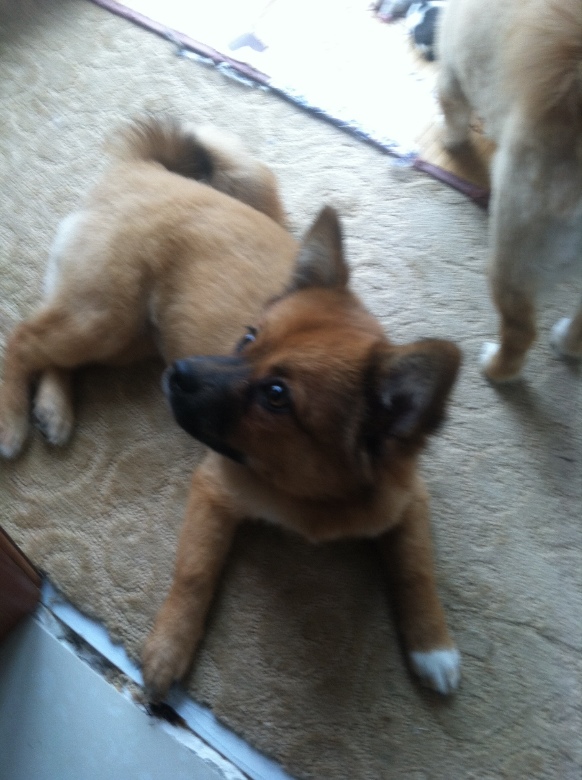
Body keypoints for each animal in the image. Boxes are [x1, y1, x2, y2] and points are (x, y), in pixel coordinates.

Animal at [0, 117, 461, 696]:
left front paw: (434, 646)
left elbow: (417, 568)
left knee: (54, 352)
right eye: (248, 337)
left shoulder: (406, 501)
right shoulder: (215, 491)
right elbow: (195, 573)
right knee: (22, 339)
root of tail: (143, 168)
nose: (178, 374)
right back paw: (12, 419)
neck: (310, 491)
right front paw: (169, 649)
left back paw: (54, 408)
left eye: (276, 396)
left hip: (128, 336)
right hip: (105, 317)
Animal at [437, 0, 582, 382]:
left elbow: (452, 114)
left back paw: (494, 367)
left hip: (512, 250)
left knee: (520, 331)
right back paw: (566, 342)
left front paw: (450, 141)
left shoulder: (451, 72)